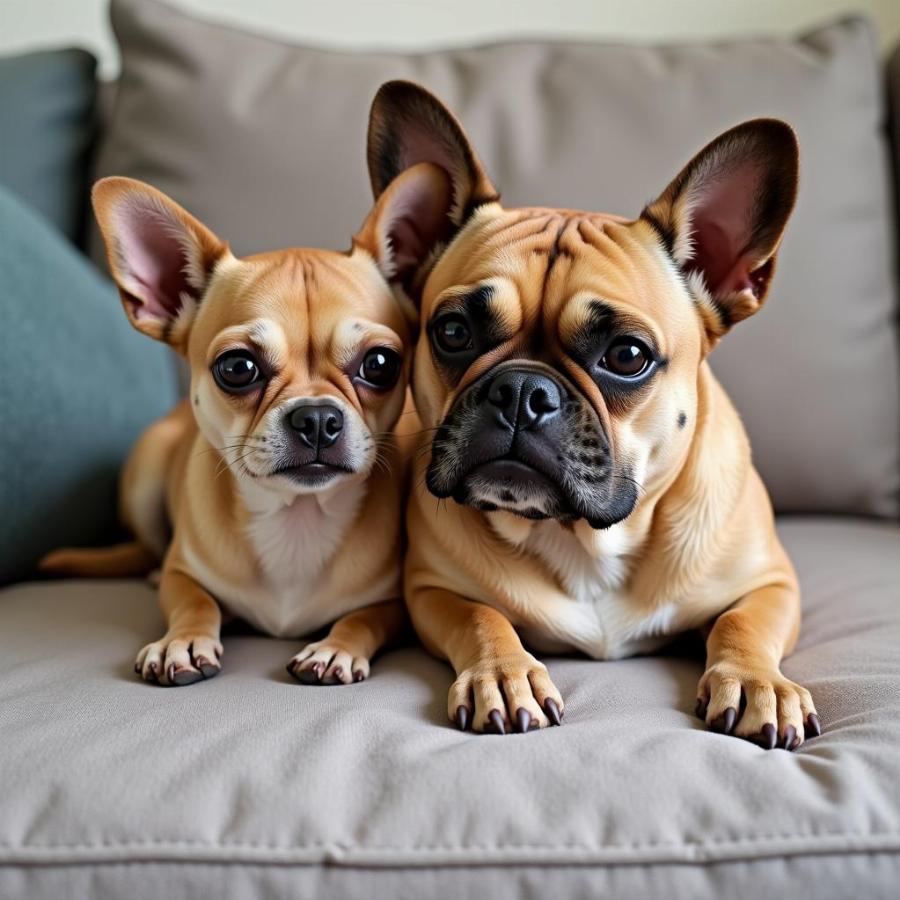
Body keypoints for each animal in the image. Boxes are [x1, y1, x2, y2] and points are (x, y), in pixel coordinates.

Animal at [40, 169, 450, 684]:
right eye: (238, 368)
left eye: (380, 364)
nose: (318, 417)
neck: (297, 517)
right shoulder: (184, 576)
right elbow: (195, 601)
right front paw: (182, 641)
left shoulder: (394, 602)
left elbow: (364, 617)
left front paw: (335, 648)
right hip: (146, 473)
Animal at [366, 82, 824, 744]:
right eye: (453, 332)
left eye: (627, 356)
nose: (522, 390)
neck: (583, 539)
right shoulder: (431, 589)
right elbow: (480, 616)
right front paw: (503, 674)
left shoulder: (771, 584)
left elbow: (741, 623)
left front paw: (759, 682)